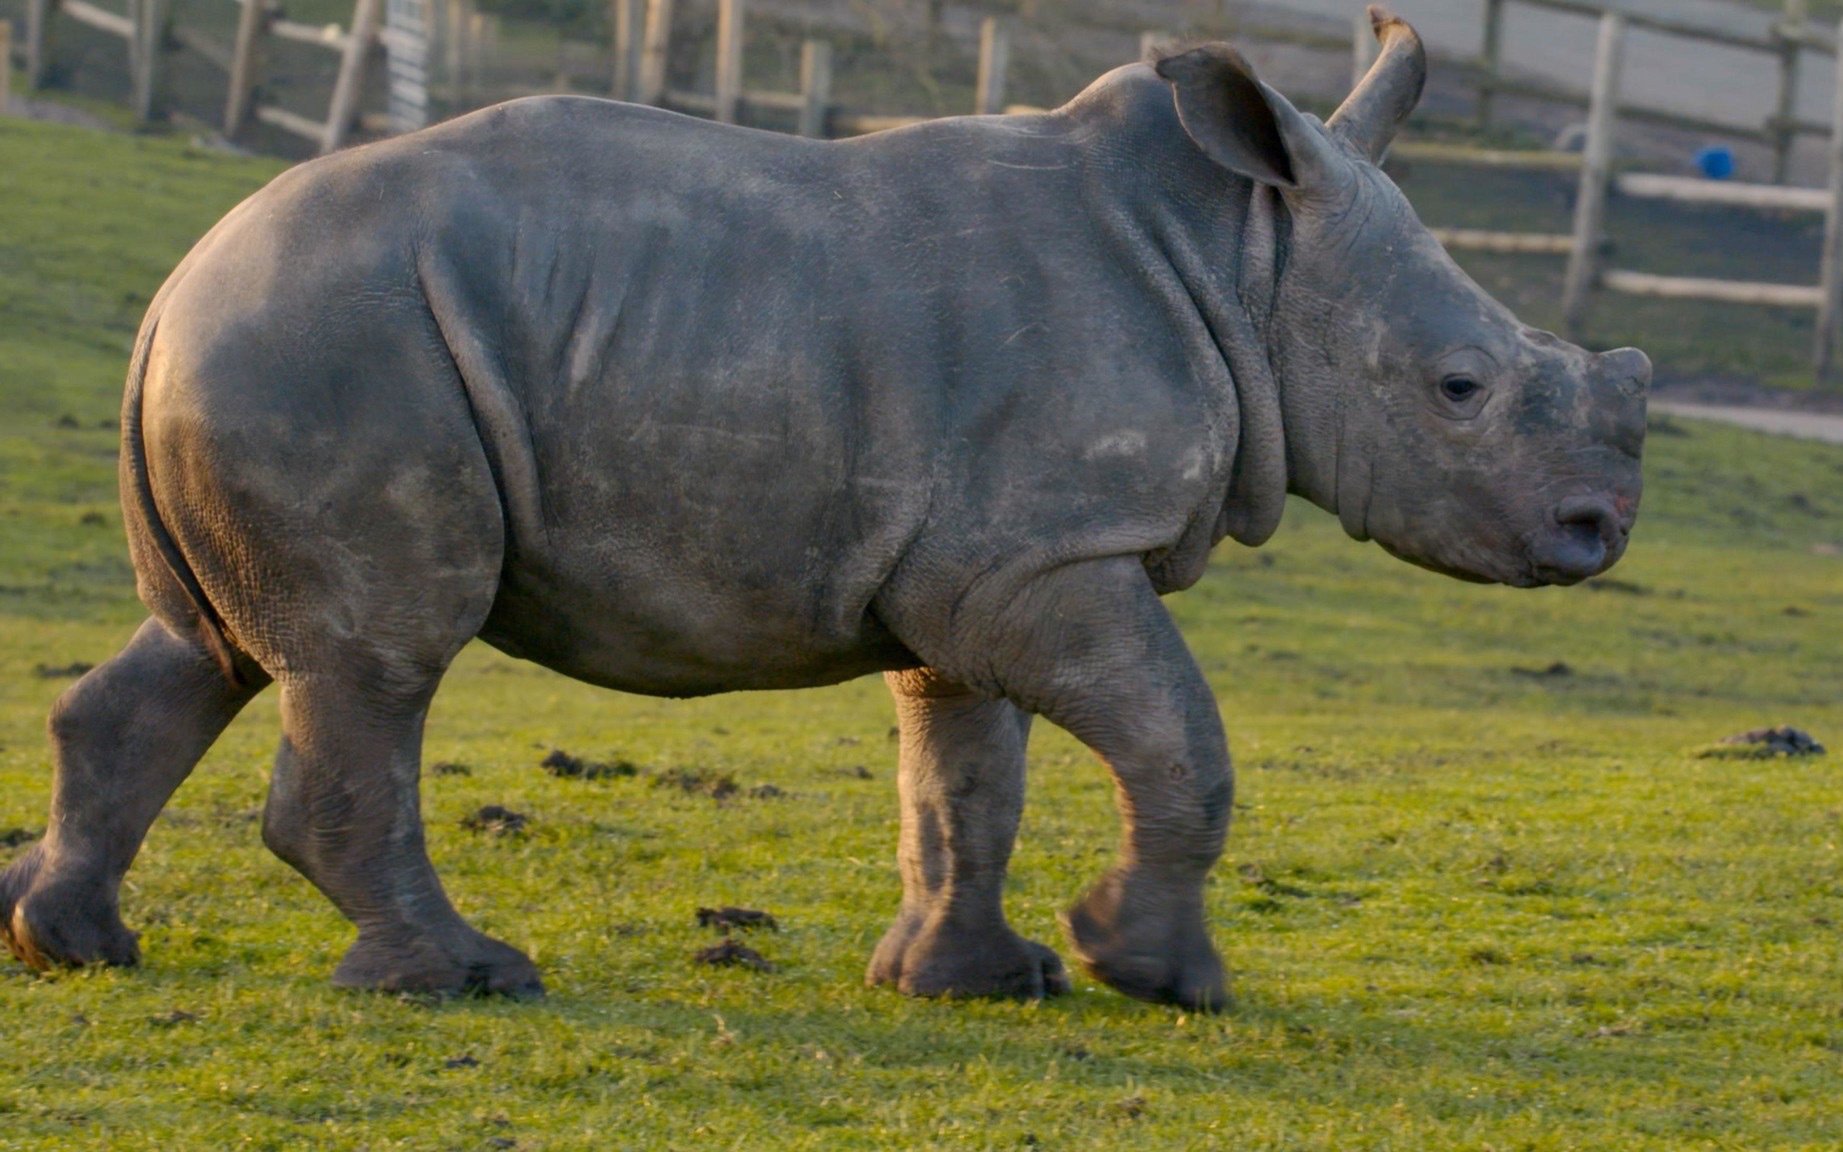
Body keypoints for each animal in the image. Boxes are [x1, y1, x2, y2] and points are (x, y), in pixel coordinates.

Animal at [0, 8, 1643, 1002]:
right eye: (1457, 389)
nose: (1598, 532)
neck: (1245, 255)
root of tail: (174, 288)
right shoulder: (1043, 556)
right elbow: (1181, 737)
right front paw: (1153, 975)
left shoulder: (982, 565)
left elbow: (963, 778)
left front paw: (973, 979)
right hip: (341, 348)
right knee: (377, 657)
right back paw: (467, 977)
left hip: (286, 351)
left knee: (214, 648)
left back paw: (73, 946)